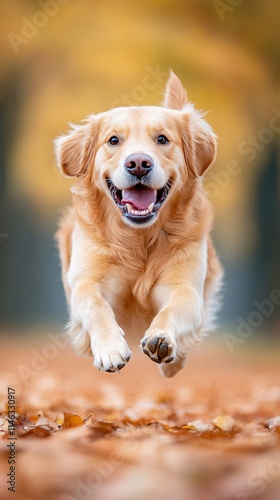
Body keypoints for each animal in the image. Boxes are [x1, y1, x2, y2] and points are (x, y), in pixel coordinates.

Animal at [54, 72, 223, 376]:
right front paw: (110, 349)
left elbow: (173, 308)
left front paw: (161, 339)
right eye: (113, 140)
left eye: (162, 139)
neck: (139, 237)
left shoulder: (184, 286)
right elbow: (95, 305)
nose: (139, 163)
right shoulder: (86, 281)